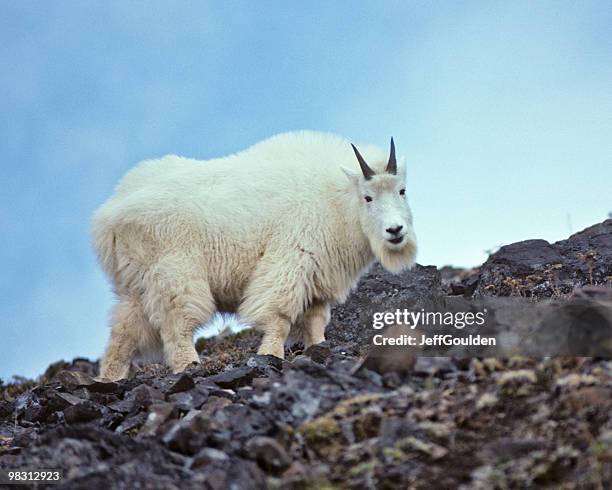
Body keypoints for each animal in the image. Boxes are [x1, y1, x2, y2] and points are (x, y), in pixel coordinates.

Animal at [92, 129, 416, 378]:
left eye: (402, 190)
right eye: (368, 197)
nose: (395, 231)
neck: (337, 201)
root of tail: (109, 216)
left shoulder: (318, 276)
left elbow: (315, 321)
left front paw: (319, 349)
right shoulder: (291, 259)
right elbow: (279, 316)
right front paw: (271, 355)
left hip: (135, 285)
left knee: (123, 333)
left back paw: (110, 380)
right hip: (174, 271)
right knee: (176, 324)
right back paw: (189, 366)